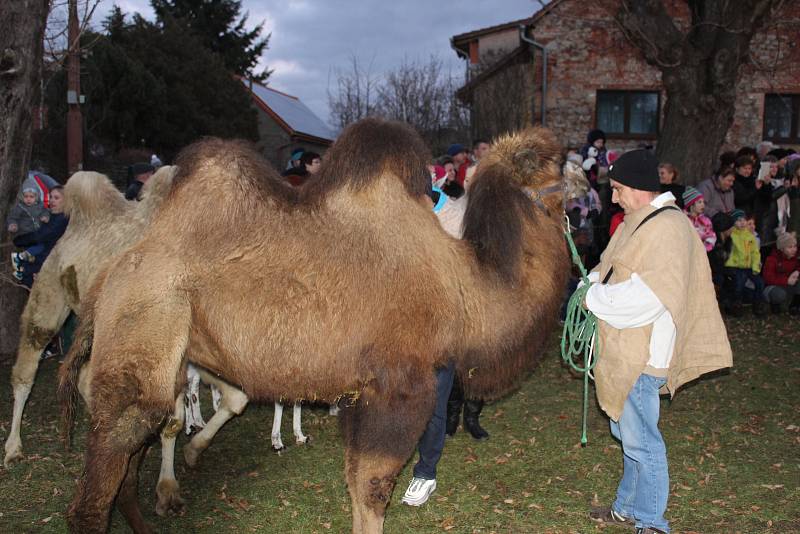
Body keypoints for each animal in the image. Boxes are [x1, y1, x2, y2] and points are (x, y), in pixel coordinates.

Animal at [59, 119, 564, 532]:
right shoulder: (400, 383)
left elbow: (359, 481)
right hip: (145, 321)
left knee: (131, 464)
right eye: (555, 168)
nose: (577, 189)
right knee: (99, 485)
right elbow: (373, 488)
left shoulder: (365, 390)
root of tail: (109, 277)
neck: (465, 287)